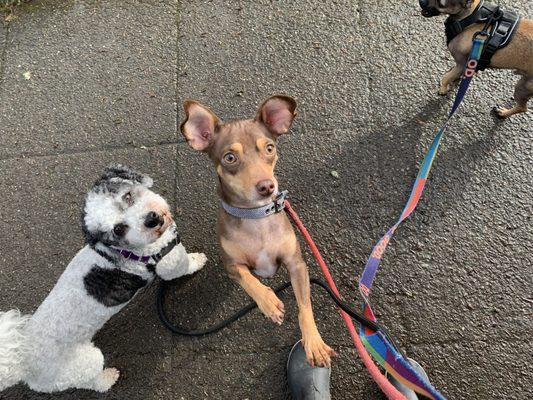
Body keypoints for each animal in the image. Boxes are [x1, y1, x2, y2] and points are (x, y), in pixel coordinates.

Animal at [0, 166, 206, 394]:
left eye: (127, 196)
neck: (130, 250)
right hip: (81, 365)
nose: (151, 219)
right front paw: (197, 260)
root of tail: (22, 363)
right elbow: (184, 266)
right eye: (119, 229)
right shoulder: (168, 263)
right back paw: (108, 378)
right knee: (91, 381)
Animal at [181, 95, 334, 368]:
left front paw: (314, 343)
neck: (256, 218)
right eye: (230, 158)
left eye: (270, 148)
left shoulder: (296, 264)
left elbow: (305, 306)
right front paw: (269, 302)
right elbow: (249, 280)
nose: (267, 187)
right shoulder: (231, 266)